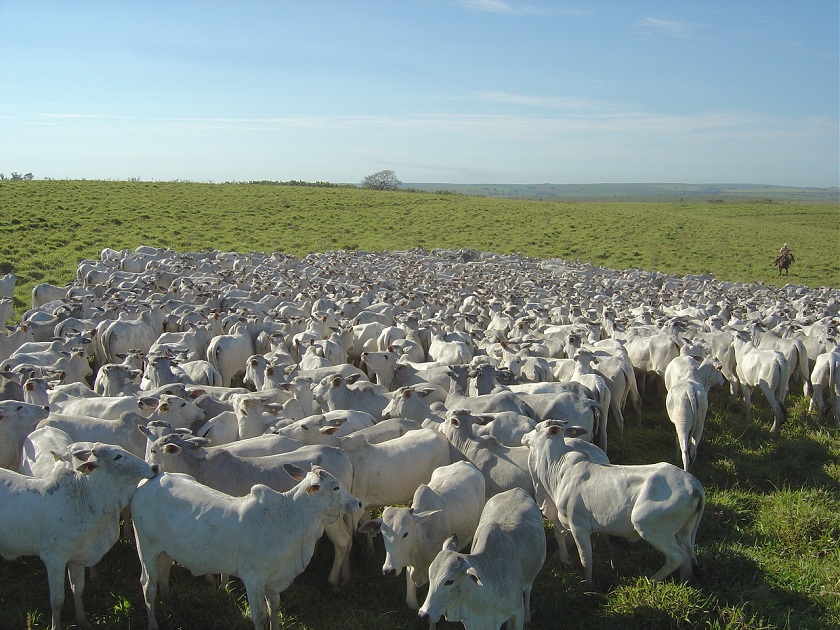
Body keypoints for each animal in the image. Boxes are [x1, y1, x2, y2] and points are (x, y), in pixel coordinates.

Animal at [1, 444, 158, 630]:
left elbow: (78, 589)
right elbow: (57, 601)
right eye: (117, 457)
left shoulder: (77, 558)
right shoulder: (54, 559)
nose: (154, 467)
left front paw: (83, 619)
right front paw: (56, 626)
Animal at [418, 488, 548, 630]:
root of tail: (517, 489)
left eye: (449, 581)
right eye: (430, 577)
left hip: (531, 575)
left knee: (528, 590)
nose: (423, 614)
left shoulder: (518, 611)